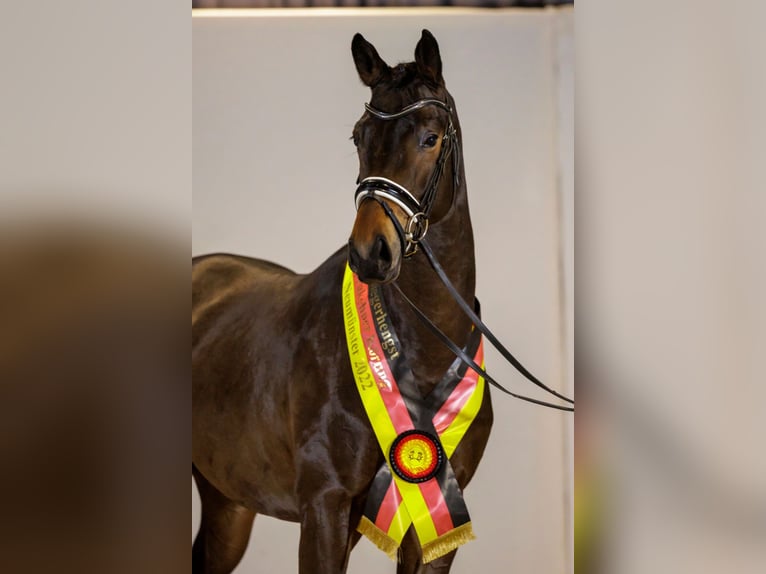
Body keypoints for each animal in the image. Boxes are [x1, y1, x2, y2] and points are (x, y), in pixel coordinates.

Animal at [191, 31, 492, 574]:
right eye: (359, 136)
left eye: (431, 138)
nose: (372, 251)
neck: (422, 355)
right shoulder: (324, 508)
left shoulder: (435, 524)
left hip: (228, 500)